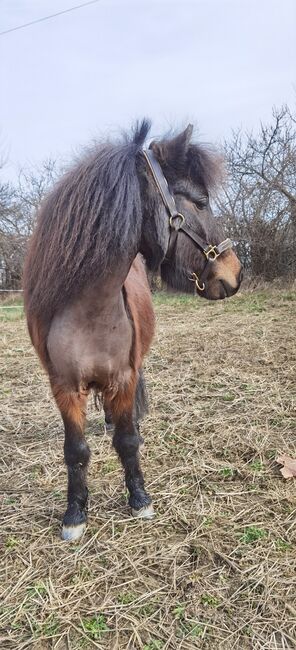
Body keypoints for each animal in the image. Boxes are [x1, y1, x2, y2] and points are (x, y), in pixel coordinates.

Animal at [22, 119, 240, 540]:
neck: (89, 313)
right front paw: (75, 514)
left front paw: (139, 499)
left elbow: (127, 441)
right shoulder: (64, 388)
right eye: (200, 203)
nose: (235, 273)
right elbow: (76, 451)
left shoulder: (124, 377)